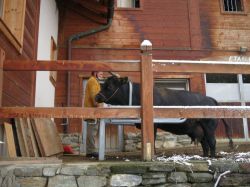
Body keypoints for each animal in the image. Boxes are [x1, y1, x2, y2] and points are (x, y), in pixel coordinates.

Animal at [94, 75, 233, 157]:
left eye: (109, 86)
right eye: (102, 85)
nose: (97, 96)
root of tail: (210, 99)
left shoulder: (153, 124)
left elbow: (152, 139)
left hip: (209, 126)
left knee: (212, 142)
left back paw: (212, 157)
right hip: (199, 128)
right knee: (205, 143)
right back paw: (204, 157)